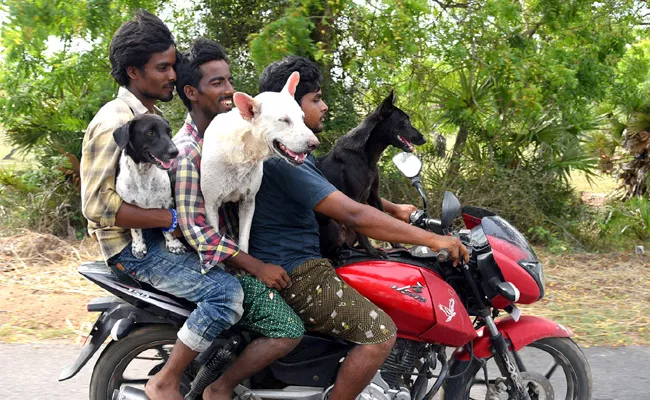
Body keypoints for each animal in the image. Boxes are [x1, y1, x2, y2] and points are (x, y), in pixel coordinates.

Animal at [112, 112, 185, 260]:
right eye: (150, 132)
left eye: (169, 132)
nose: (175, 152)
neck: (143, 175)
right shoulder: (130, 206)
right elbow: (135, 229)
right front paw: (138, 246)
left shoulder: (167, 203)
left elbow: (169, 228)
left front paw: (174, 244)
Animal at [200, 71, 316, 252]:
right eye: (284, 120)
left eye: (302, 118)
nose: (314, 144)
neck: (243, 154)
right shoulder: (211, 204)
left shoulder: (248, 202)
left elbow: (244, 240)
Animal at [316, 90, 426, 260]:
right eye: (405, 121)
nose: (424, 139)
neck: (367, 157)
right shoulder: (354, 200)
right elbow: (362, 232)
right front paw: (372, 252)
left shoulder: (374, 194)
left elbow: (386, 220)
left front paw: (397, 246)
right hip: (332, 224)